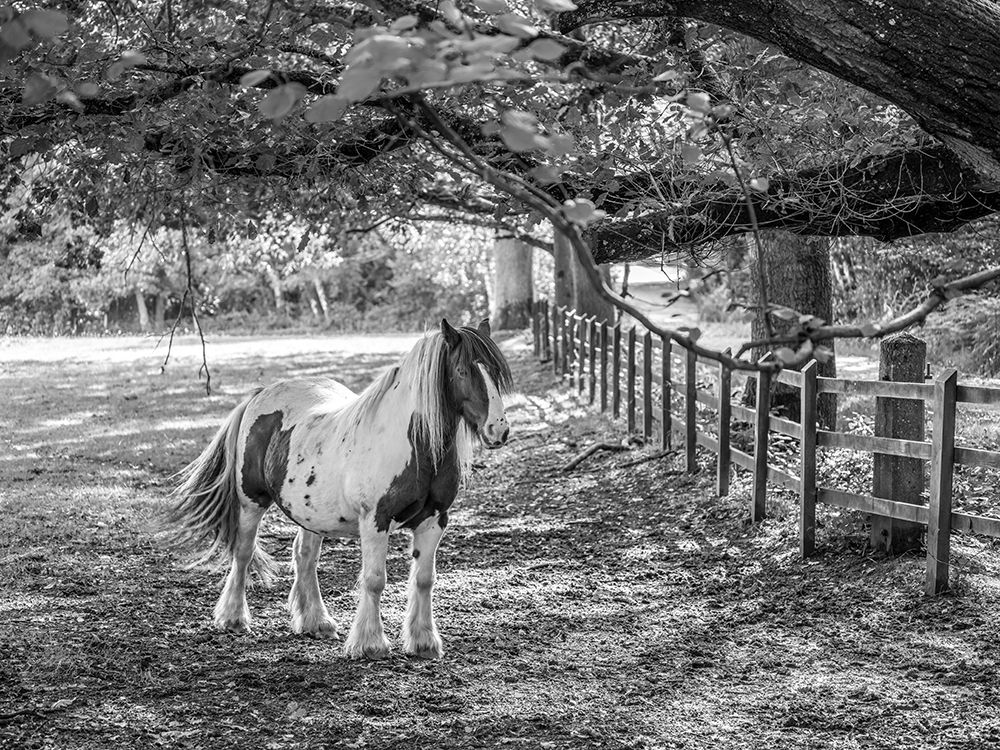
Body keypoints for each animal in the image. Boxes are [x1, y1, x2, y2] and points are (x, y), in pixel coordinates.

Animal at [168, 318, 512, 659]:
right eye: (463, 370)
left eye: (497, 372)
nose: (499, 430)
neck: (413, 444)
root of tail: (261, 393)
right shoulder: (375, 520)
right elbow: (374, 580)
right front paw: (371, 644)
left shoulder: (434, 520)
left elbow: (425, 579)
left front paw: (424, 641)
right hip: (251, 502)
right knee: (243, 553)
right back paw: (234, 618)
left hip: (310, 514)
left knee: (305, 557)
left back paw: (316, 622)